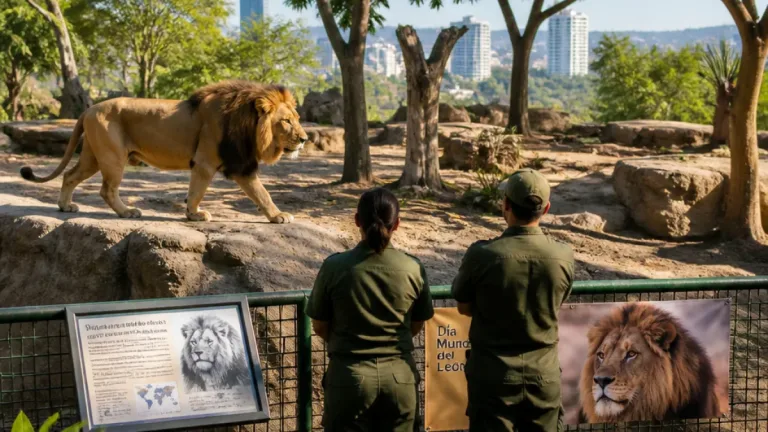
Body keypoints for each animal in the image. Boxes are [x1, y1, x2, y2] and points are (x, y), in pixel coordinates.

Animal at [19, 80, 308, 223]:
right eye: (286, 121)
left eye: (297, 118)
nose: (304, 139)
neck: (247, 121)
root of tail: (89, 109)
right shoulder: (207, 161)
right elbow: (202, 191)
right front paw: (195, 215)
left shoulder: (240, 164)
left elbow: (260, 193)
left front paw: (276, 216)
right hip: (113, 157)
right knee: (107, 189)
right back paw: (127, 212)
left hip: (93, 156)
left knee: (70, 175)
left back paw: (65, 206)